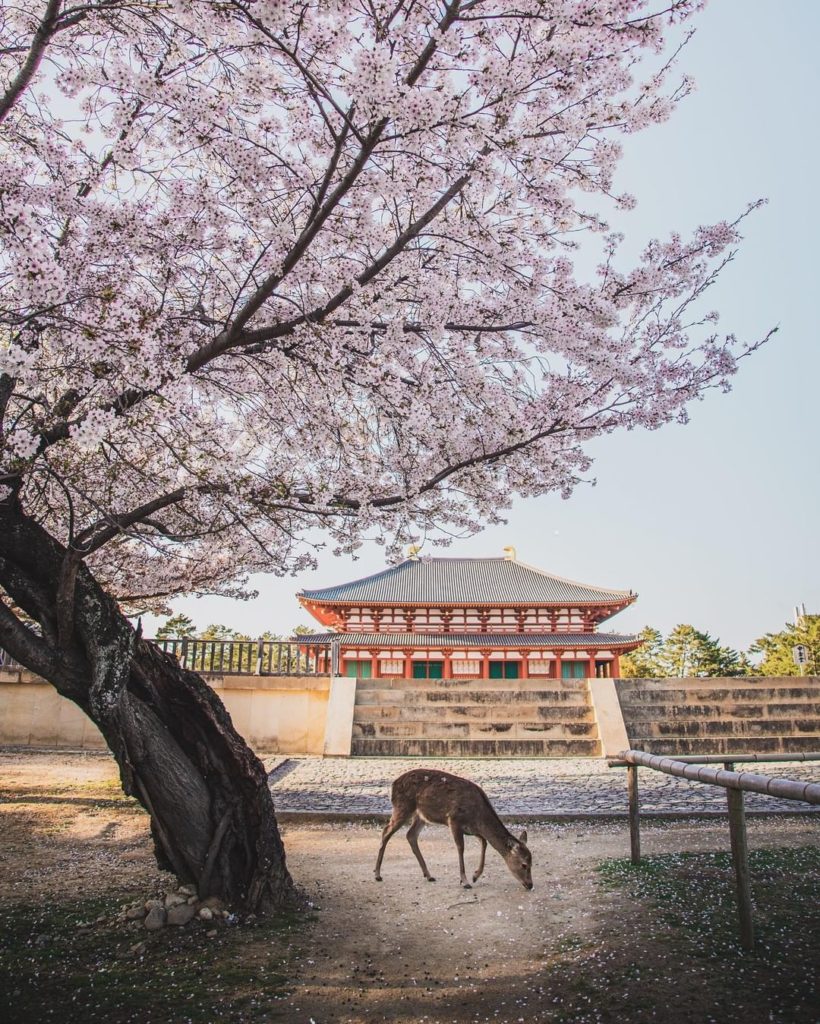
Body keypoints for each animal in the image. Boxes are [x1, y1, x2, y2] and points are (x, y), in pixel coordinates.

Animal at [374, 768, 533, 890]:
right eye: (524, 865)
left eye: (532, 862)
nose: (530, 885)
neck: (478, 815)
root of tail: (393, 785)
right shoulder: (454, 820)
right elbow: (461, 848)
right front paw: (465, 881)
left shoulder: (472, 829)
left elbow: (484, 842)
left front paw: (475, 876)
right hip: (402, 807)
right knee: (386, 832)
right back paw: (377, 874)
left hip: (421, 815)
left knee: (410, 835)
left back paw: (429, 875)